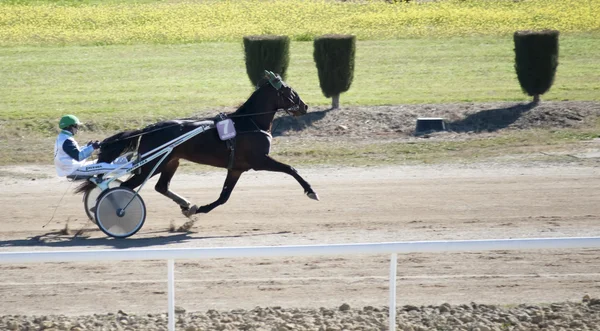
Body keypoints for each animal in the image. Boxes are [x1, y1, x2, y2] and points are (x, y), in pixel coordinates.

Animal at [76, 70, 318, 218]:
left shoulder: (236, 168)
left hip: (169, 161)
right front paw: (311, 191)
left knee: (160, 186)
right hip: (152, 164)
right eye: (290, 90)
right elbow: (291, 169)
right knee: (126, 187)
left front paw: (198, 209)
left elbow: (223, 197)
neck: (250, 122)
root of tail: (149, 128)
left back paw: (187, 205)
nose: (305, 106)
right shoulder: (259, 160)